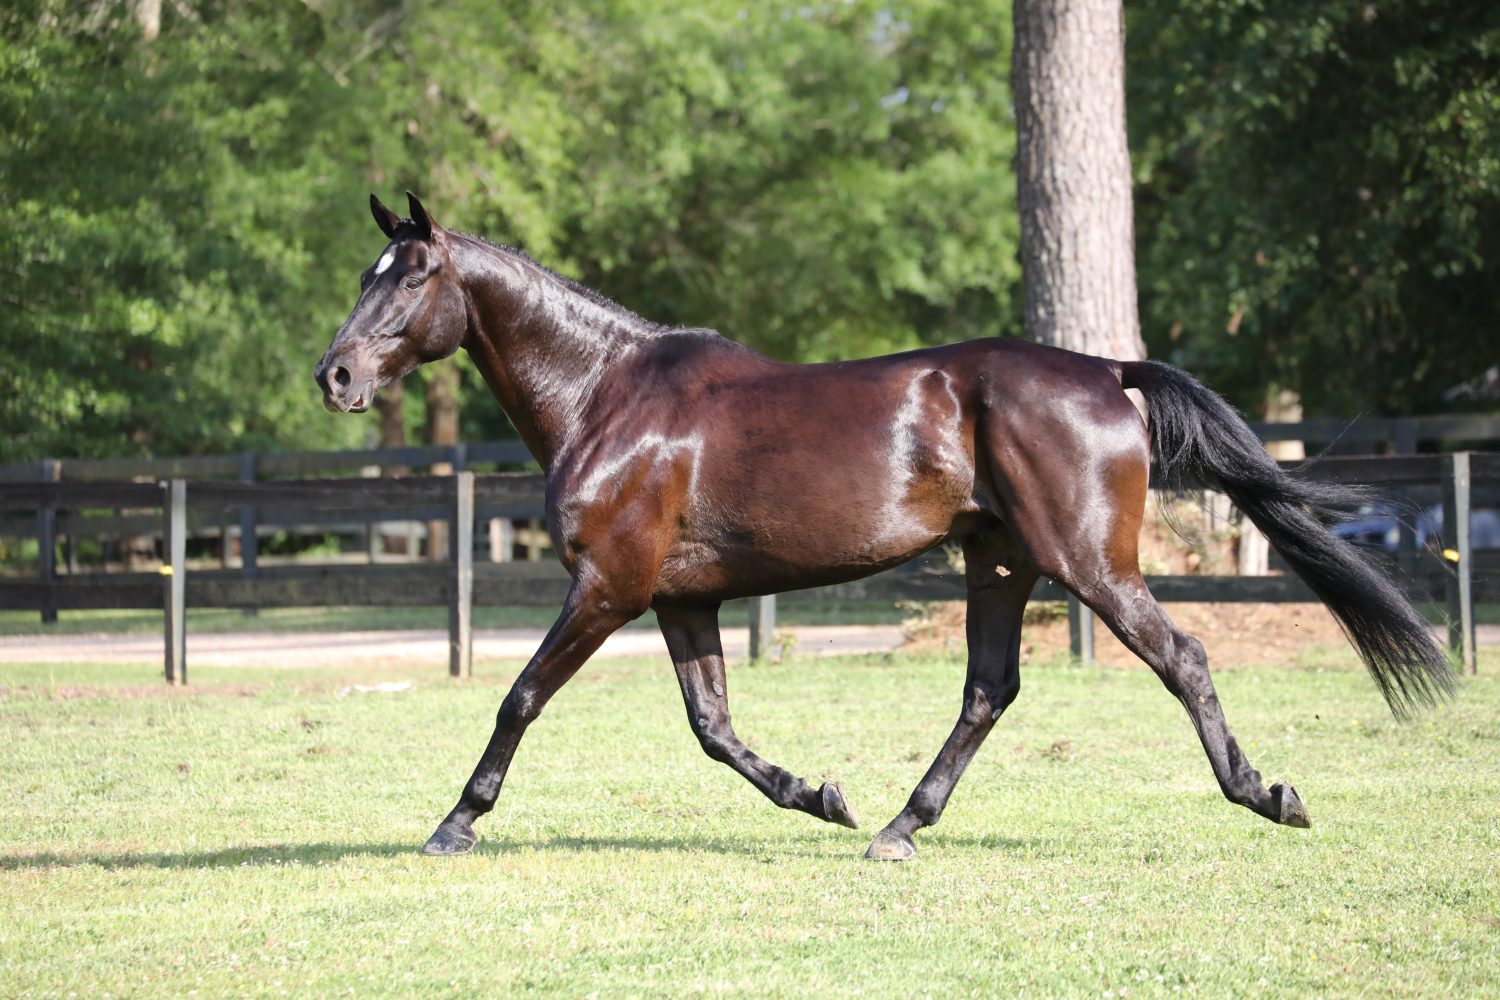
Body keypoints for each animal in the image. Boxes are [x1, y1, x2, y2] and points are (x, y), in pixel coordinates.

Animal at [313, 194, 1452, 863]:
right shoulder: (682, 599)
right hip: (1000, 564)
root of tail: (1105, 372)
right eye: (366, 273)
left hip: (1089, 564)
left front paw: (455, 823)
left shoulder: (609, 588)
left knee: (1183, 657)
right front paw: (822, 795)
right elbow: (713, 728)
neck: (608, 395)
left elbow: (519, 695)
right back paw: (901, 827)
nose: (335, 376)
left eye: (412, 276)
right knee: (990, 689)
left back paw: (1268, 795)